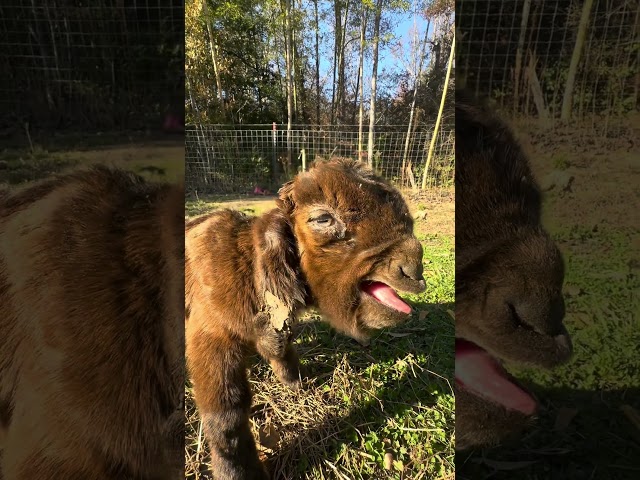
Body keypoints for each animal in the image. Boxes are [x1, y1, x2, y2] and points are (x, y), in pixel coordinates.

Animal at [185, 158, 424, 476]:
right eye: (323, 219)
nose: (414, 268)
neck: (247, 265)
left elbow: (283, 350)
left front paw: (296, 383)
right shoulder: (211, 337)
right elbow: (226, 417)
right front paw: (237, 471)